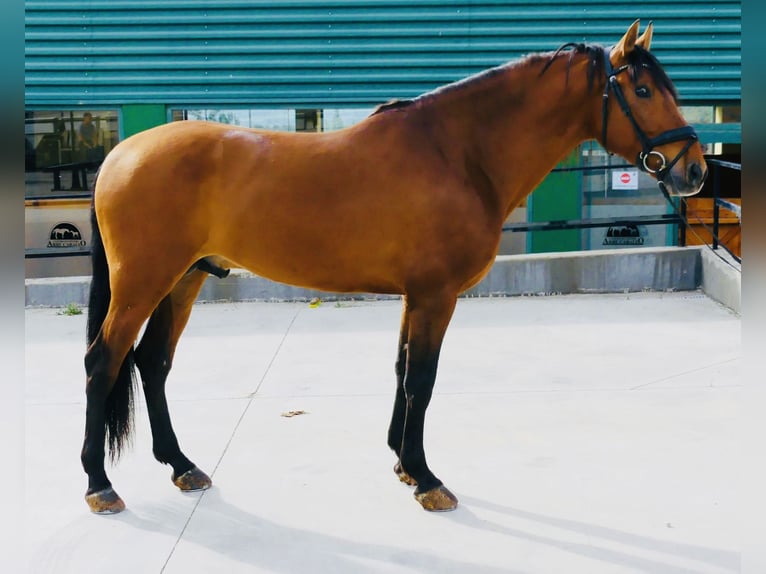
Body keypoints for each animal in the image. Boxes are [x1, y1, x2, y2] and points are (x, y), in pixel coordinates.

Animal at [82, 21, 708, 516]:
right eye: (644, 89)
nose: (696, 171)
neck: (457, 154)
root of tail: (119, 155)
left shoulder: (415, 296)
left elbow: (404, 370)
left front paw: (404, 465)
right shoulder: (436, 295)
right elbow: (422, 380)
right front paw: (427, 478)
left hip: (183, 280)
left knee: (152, 363)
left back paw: (181, 466)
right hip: (143, 284)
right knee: (104, 363)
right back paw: (99, 484)